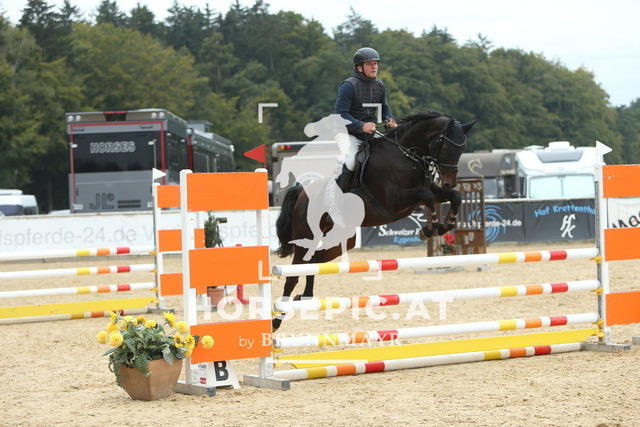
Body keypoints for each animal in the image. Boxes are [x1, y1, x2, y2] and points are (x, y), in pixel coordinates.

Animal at [273, 112, 476, 329]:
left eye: (462, 149)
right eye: (445, 147)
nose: (449, 182)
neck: (407, 157)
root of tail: (302, 191)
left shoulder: (428, 192)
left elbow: (454, 196)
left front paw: (446, 225)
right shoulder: (394, 199)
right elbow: (427, 196)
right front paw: (430, 228)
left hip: (339, 240)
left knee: (314, 262)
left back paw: (305, 296)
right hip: (307, 237)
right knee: (294, 274)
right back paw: (277, 319)